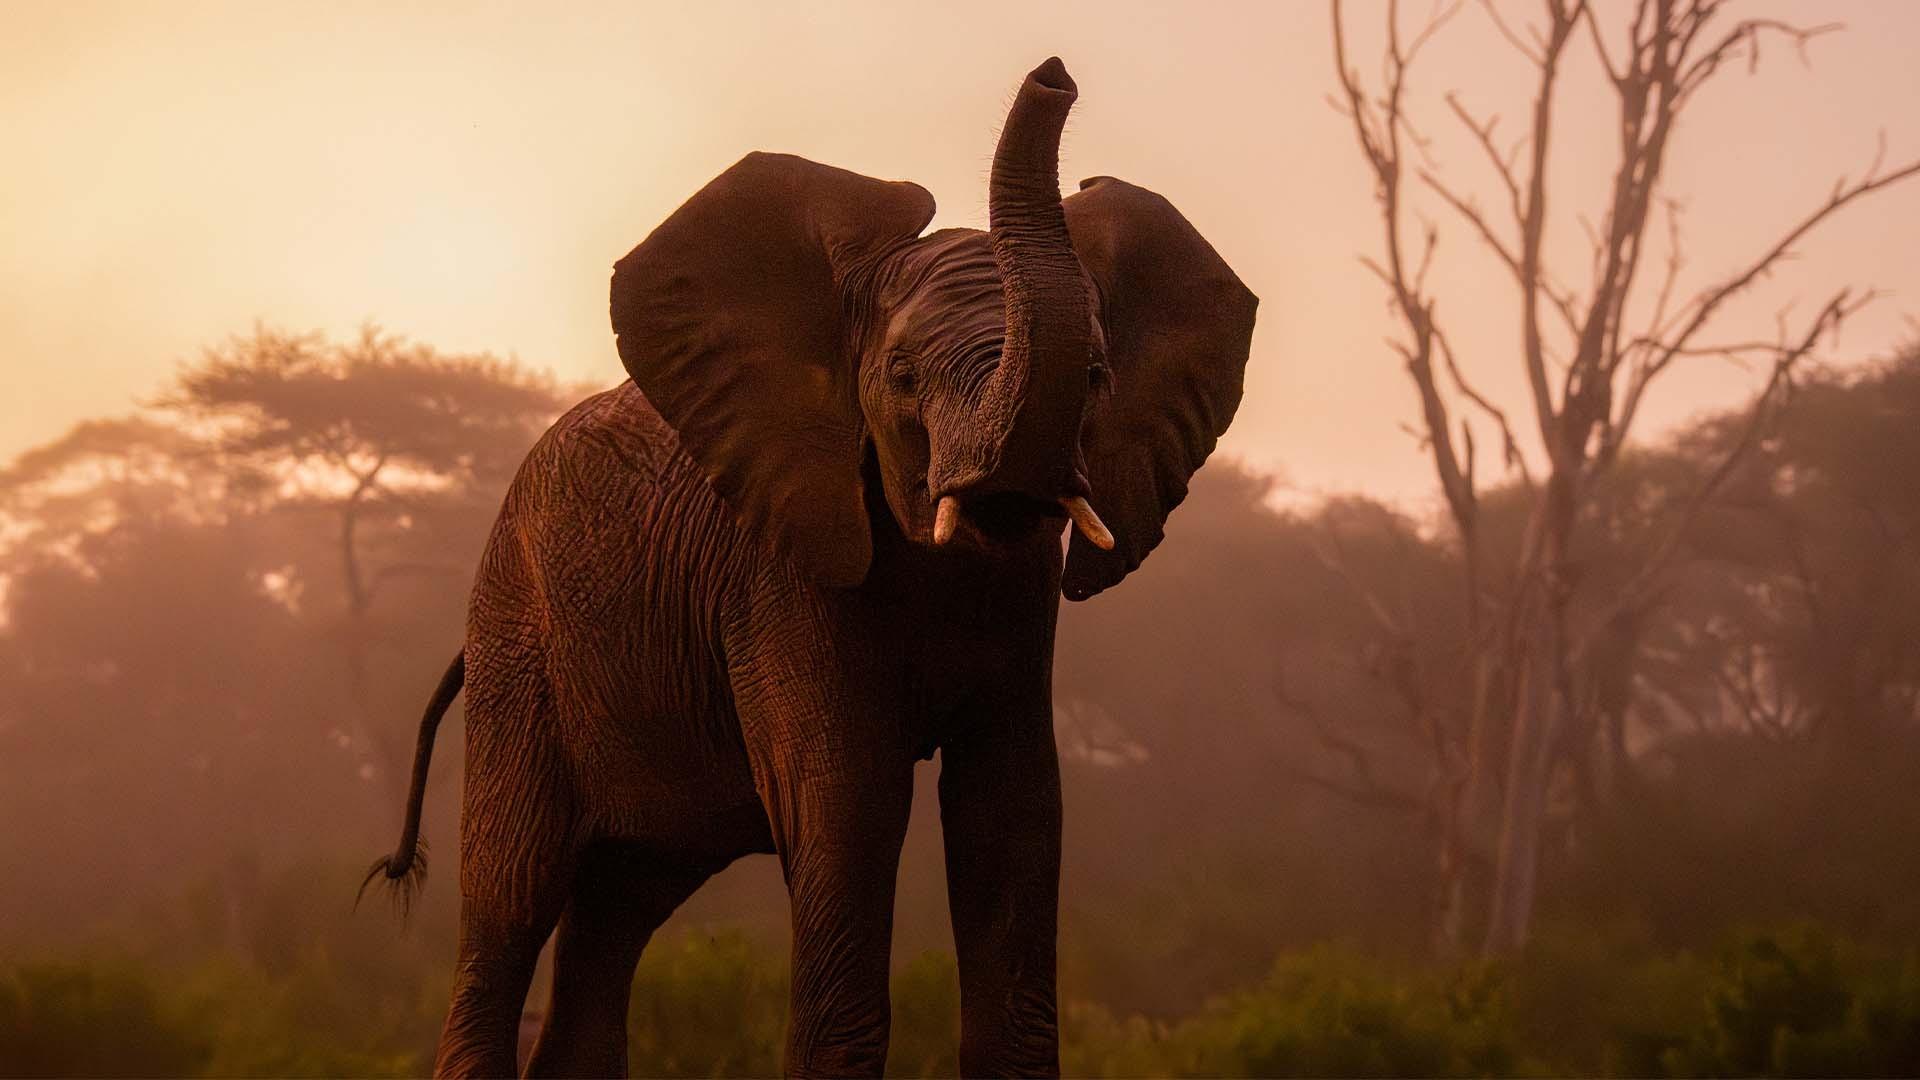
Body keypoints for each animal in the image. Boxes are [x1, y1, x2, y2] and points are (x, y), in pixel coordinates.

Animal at [363, 56, 1257, 1078]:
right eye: (902, 375)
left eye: (1100, 376)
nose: (1054, 73)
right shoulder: (778, 579)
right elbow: (848, 802)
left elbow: (1014, 811)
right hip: (519, 653)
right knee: (509, 898)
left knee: (616, 906)